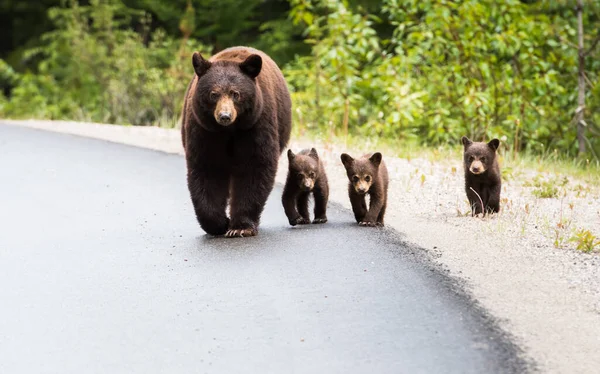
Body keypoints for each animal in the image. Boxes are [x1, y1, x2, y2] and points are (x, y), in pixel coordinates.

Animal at [182, 46, 292, 237]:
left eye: (236, 94)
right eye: (213, 94)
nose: (224, 116)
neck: (230, 130)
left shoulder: (256, 124)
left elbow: (255, 166)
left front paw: (240, 227)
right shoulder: (204, 130)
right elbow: (207, 168)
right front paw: (219, 223)